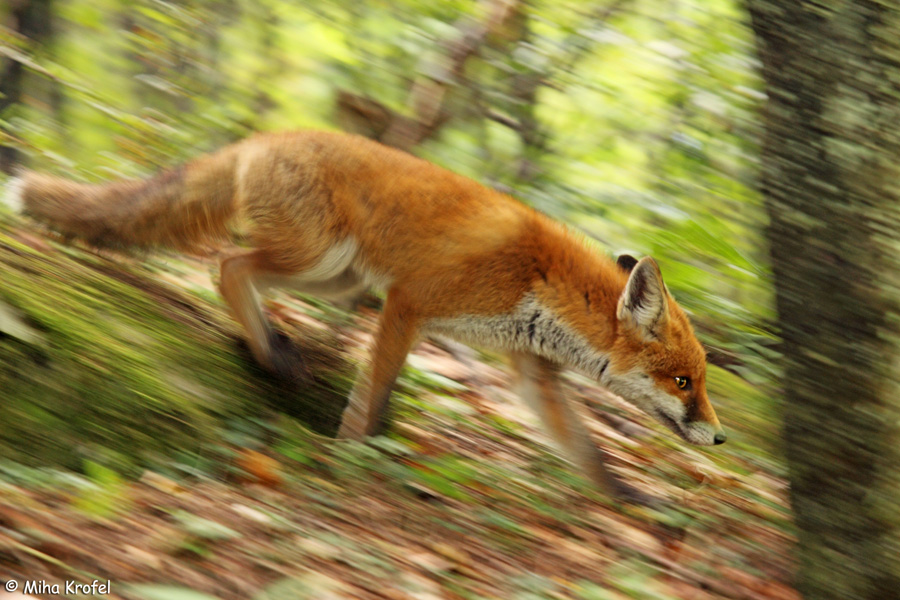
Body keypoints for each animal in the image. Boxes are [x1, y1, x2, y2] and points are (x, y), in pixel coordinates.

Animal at [1, 130, 724, 502]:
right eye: (683, 382)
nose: (719, 439)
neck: (539, 282)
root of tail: (262, 136)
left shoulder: (530, 370)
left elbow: (588, 453)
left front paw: (630, 500)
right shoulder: (410, 301)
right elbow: (372, 394)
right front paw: (348, 457)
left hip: (338, 279)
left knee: (237, 269)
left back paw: (272, 348)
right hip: (324, 258)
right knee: (228, 264)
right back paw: (273, 354)